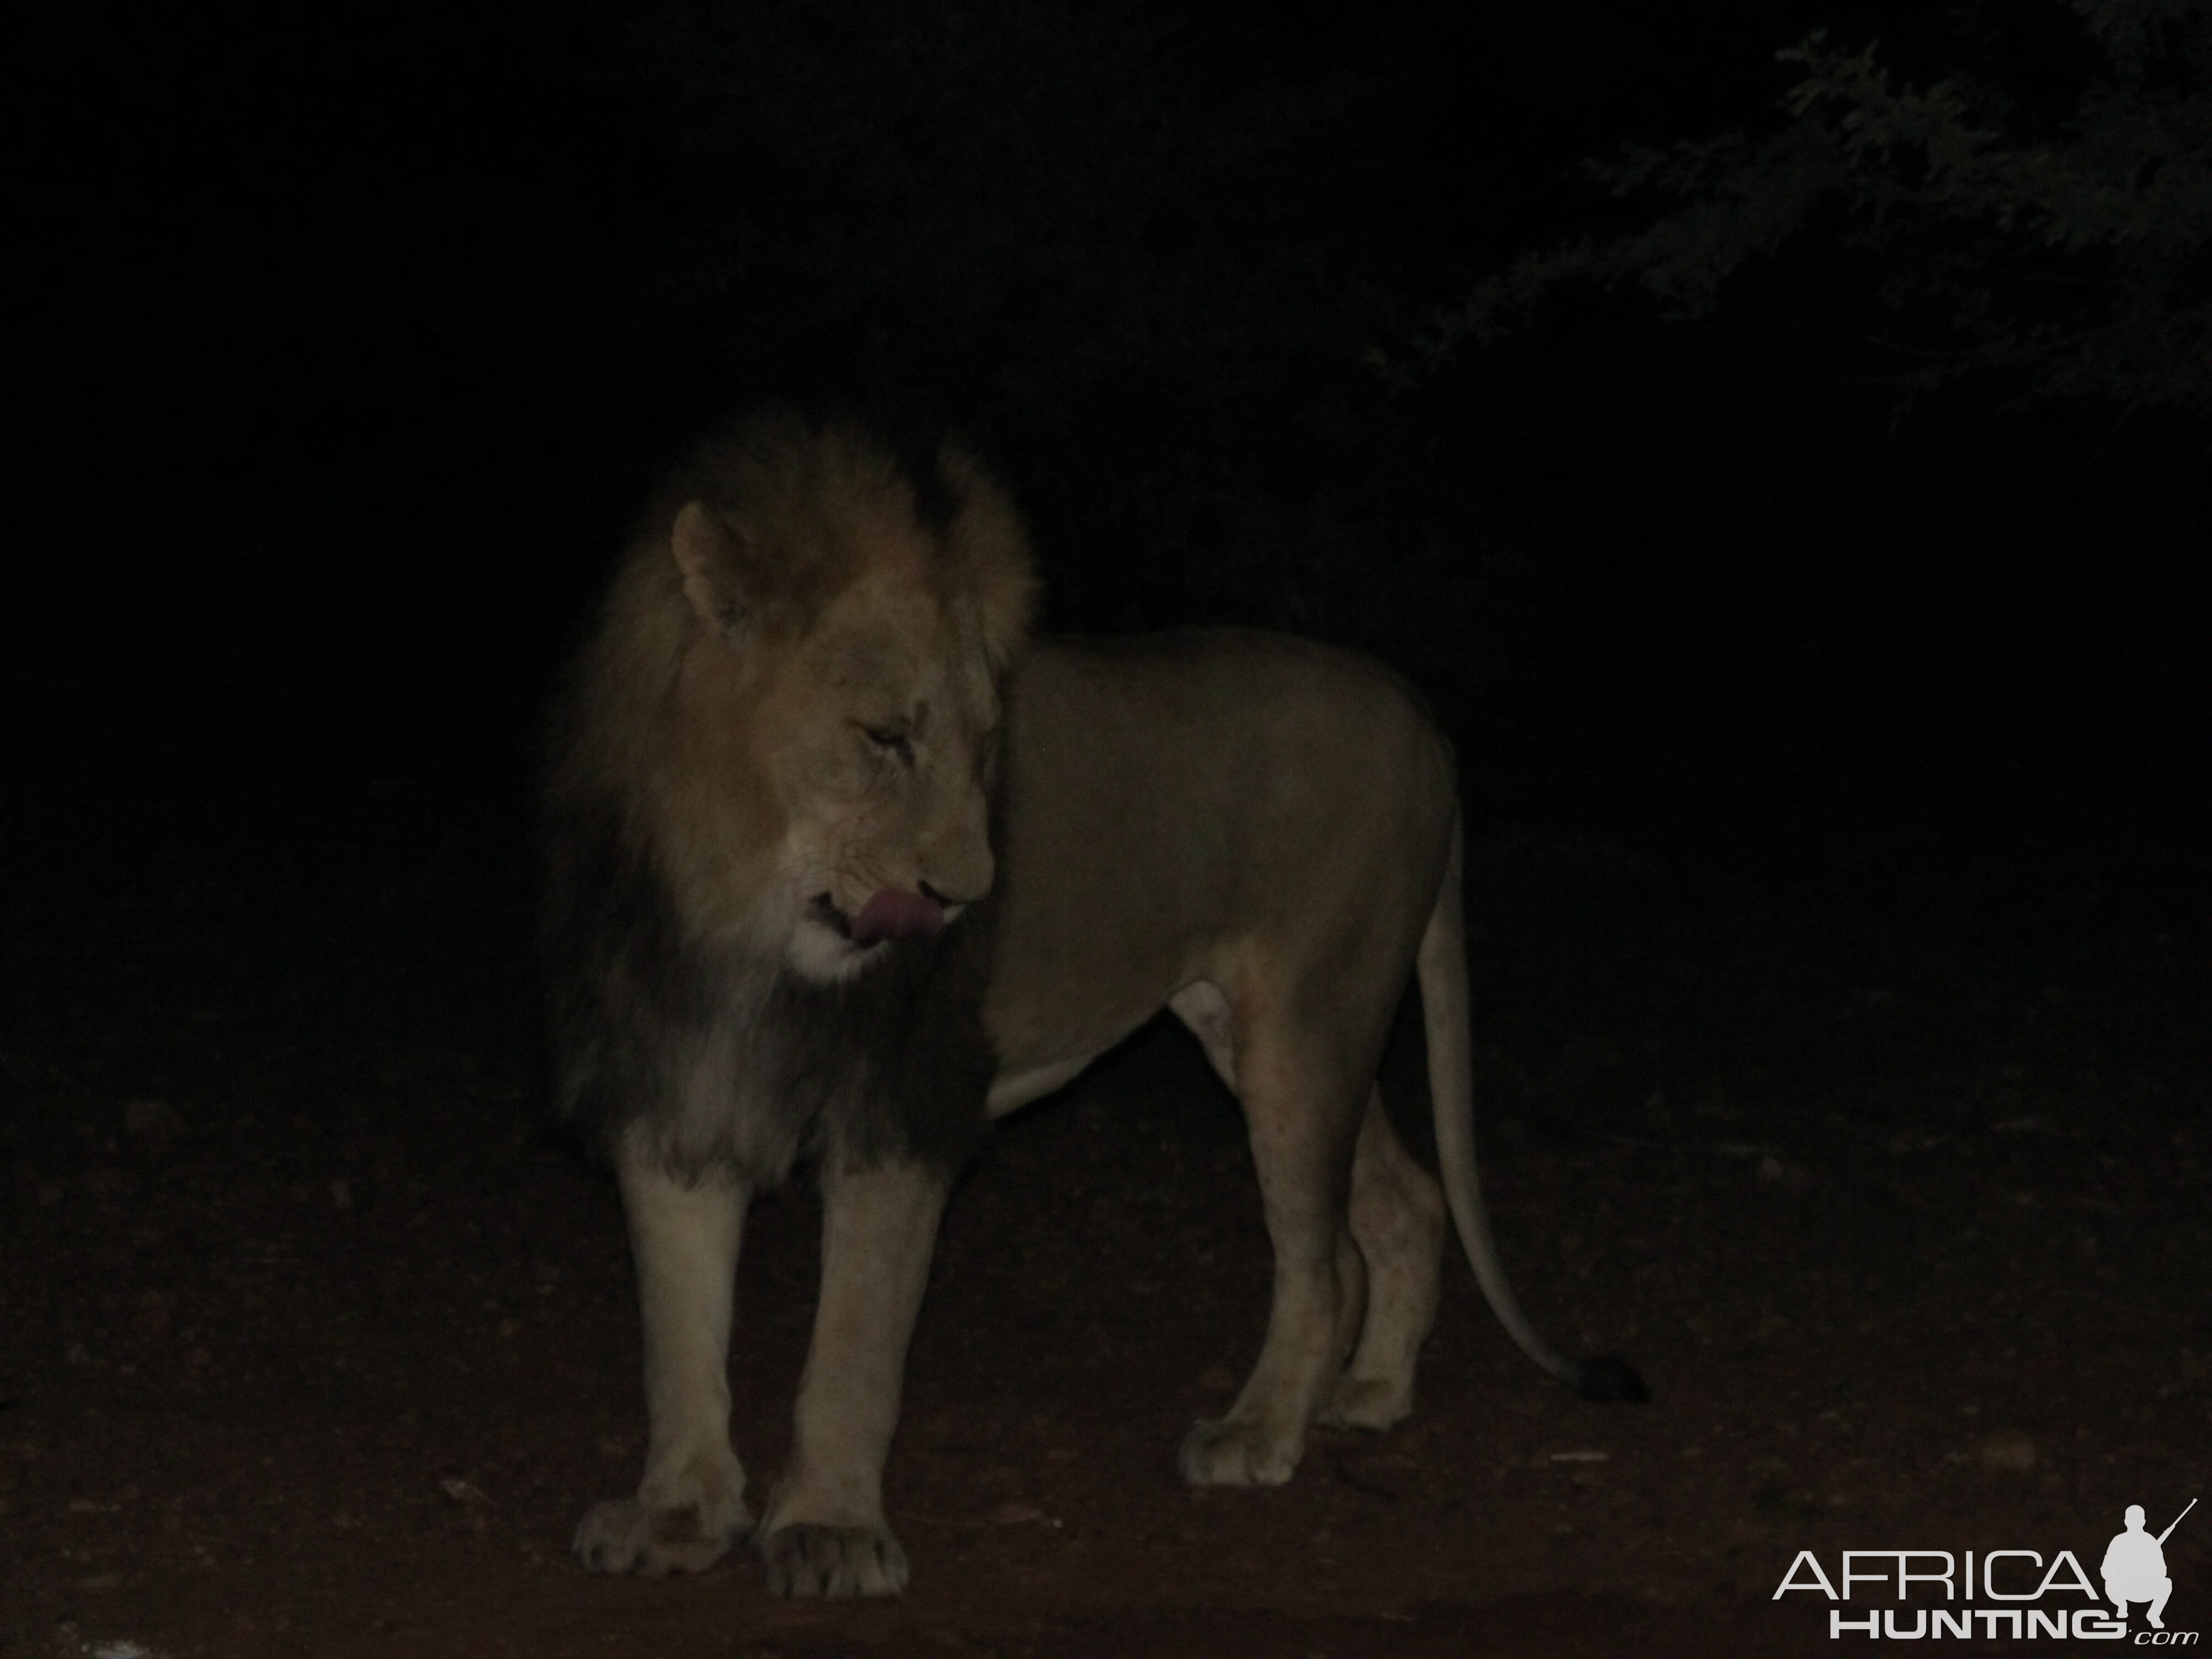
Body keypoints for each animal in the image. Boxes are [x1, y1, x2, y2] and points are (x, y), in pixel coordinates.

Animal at [540, 409, 1646, 1601]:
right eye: (886, 739)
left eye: (985, 748)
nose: (966, 897)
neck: (745, 918)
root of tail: (1419, 715)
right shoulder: (674, 1086)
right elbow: (678, 1338)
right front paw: (675, 1513)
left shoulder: (900, 1110)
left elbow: (852, 1349)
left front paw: (829, 1530)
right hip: (1267, 1024)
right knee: (1405, 1201)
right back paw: (1370, 1395)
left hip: (1306, 1031)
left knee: (1321, 1261)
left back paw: (1258, 1434)